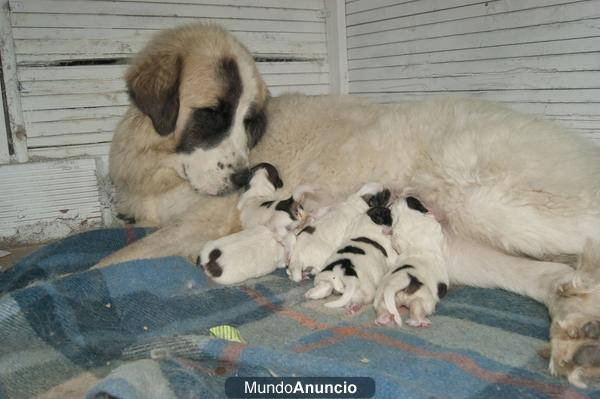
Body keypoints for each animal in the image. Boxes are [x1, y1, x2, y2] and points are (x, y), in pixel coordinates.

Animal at [376, 197, 450, 328]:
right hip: (424, 299)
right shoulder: (435, 228)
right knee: (417, 307)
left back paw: (382, 320)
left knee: (383, 308)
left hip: (384, 299)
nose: (398, 198)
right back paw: (419, 321)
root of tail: (397, 282)